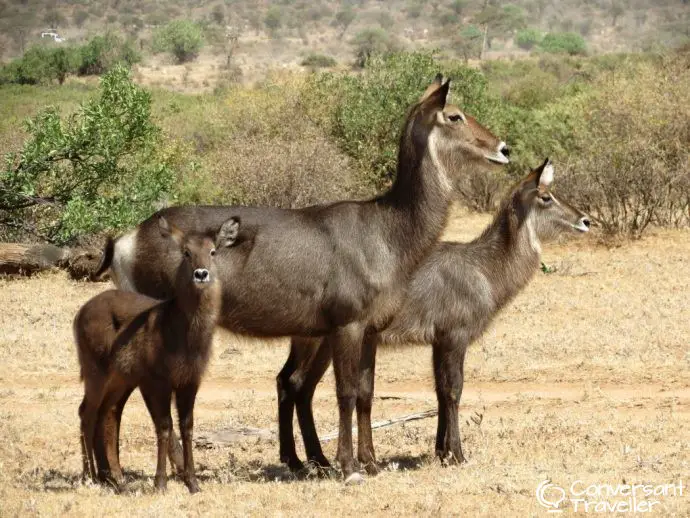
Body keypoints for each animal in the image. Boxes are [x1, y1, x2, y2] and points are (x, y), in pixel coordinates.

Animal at [75, 216, 239, 496]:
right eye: (186, 252)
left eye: (212, 251)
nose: (201, 274)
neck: (183, 332)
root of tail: (82, 311)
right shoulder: (159, 382)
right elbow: (164, 427)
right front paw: (161, 482)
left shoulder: (190, 382)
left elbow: (187, 428)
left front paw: (192, 483)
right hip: (96, 373)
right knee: (86, 413)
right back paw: (91, 477)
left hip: (121, 380)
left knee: (107, 414)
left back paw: (116, 479)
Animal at [94, 76, 508, 484]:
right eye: (454, 115)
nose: (504, 149)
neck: (388, 229)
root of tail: (127, 238)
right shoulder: (347, 325)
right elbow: (345, 392)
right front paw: (349, 467)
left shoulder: (370, 329)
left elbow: (366, 393)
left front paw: (370, 462)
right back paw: (172, 471)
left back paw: (113, 474)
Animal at [274, 160, 584, 474]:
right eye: (546, 197)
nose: (585, 220)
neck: (483, 268)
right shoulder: (454, 336)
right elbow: (453, 390)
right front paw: (457, 454)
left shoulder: (438, 341)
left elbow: (438, 390)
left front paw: (441, 452)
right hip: (318, 339)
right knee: (295, 383)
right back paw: (306, 461)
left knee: (294, 384)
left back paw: (309, 461)